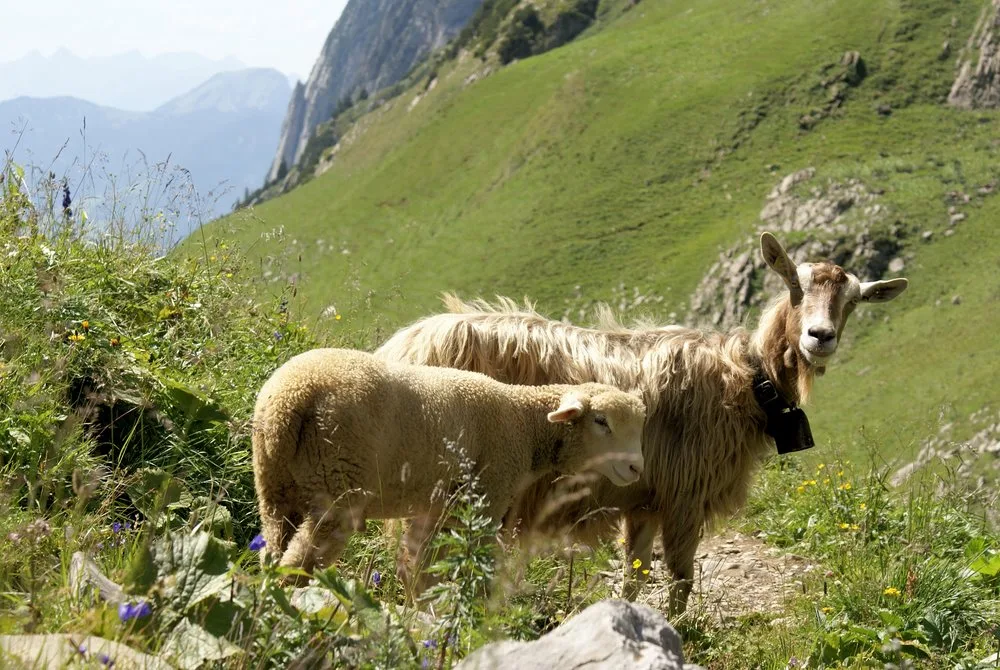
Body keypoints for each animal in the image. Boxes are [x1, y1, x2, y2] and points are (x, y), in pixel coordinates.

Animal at [251, 347, 646, 576]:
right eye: (601, 421)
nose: (636, 469)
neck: (523, 424)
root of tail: (290, 399)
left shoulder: (436, 508)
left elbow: (419, 566)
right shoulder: (482, 500)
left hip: (275, 489)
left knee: (271, 553)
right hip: (337, 488)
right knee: (298, 563)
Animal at [375, 232, 909, 614]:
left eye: (853, 301)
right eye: (794, 287)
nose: (820, 337)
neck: (745, 376)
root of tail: (401, 347)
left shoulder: (645, 499)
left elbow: (635, 576)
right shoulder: (684, 492)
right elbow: (680, 577)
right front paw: (677, 628)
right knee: (418, 561)